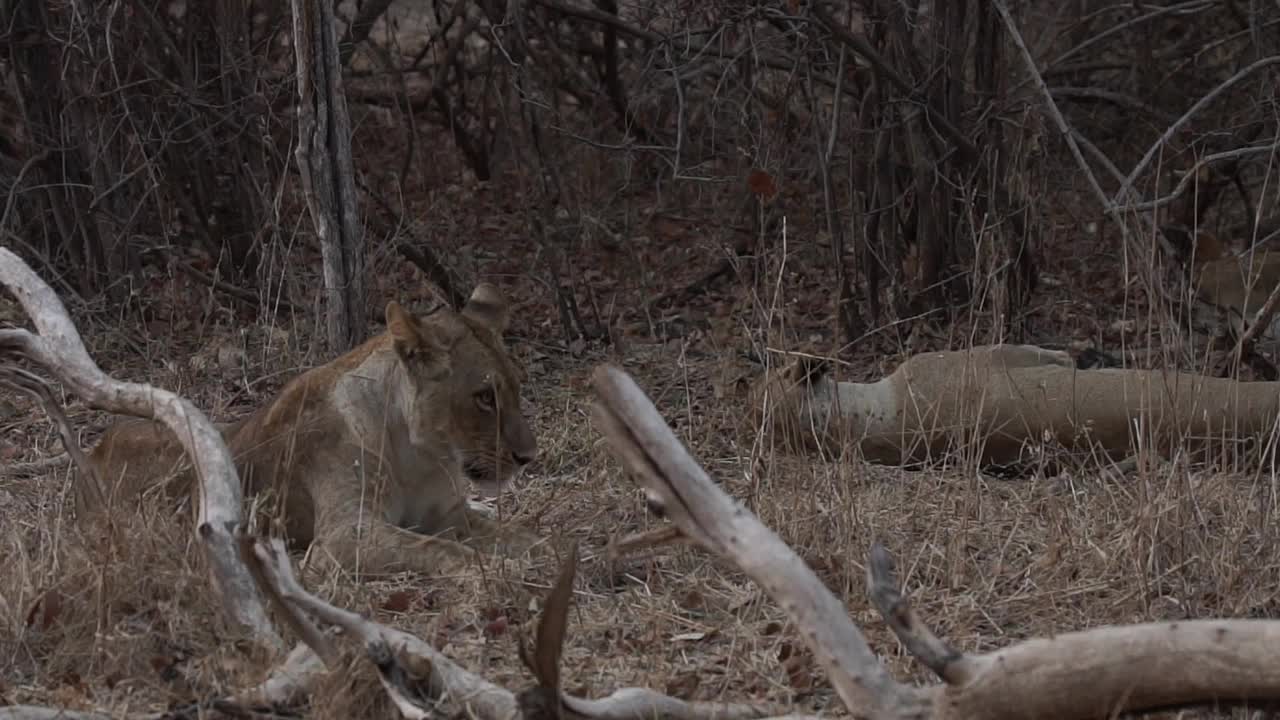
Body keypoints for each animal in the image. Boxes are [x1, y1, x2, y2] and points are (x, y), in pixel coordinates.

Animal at [74, 283, 545, 573]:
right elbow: (444, 550)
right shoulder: (343, 538)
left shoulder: (447, 515)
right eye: (484, 397)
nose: (528, 458)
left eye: (517, 386)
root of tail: (94, 450)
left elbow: (521, 536)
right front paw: (503, 569)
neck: (422, 456)